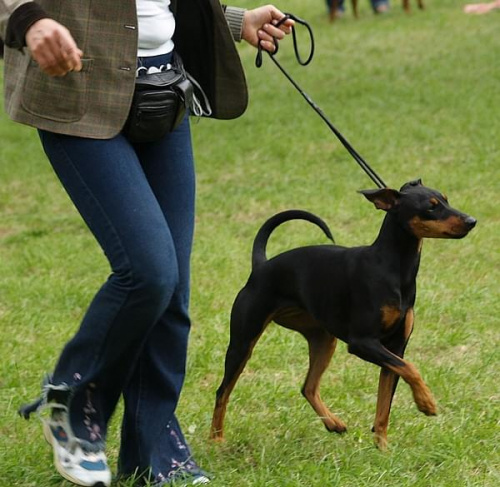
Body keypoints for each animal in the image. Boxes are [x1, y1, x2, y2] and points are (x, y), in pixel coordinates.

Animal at [211, 179, 476, 450]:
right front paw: (426, 402)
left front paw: (382, 449)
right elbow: (411, 369)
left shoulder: (395, 348)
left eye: (446, 199)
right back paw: (216, 439)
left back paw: (333, 422)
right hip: (243, 343)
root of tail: (261, 266)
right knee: (222, 391)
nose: (472, 221)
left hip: (324, 340)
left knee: (308, 387)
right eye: (431, 207)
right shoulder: (362, 343)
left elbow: (385, 405)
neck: (393, 267)